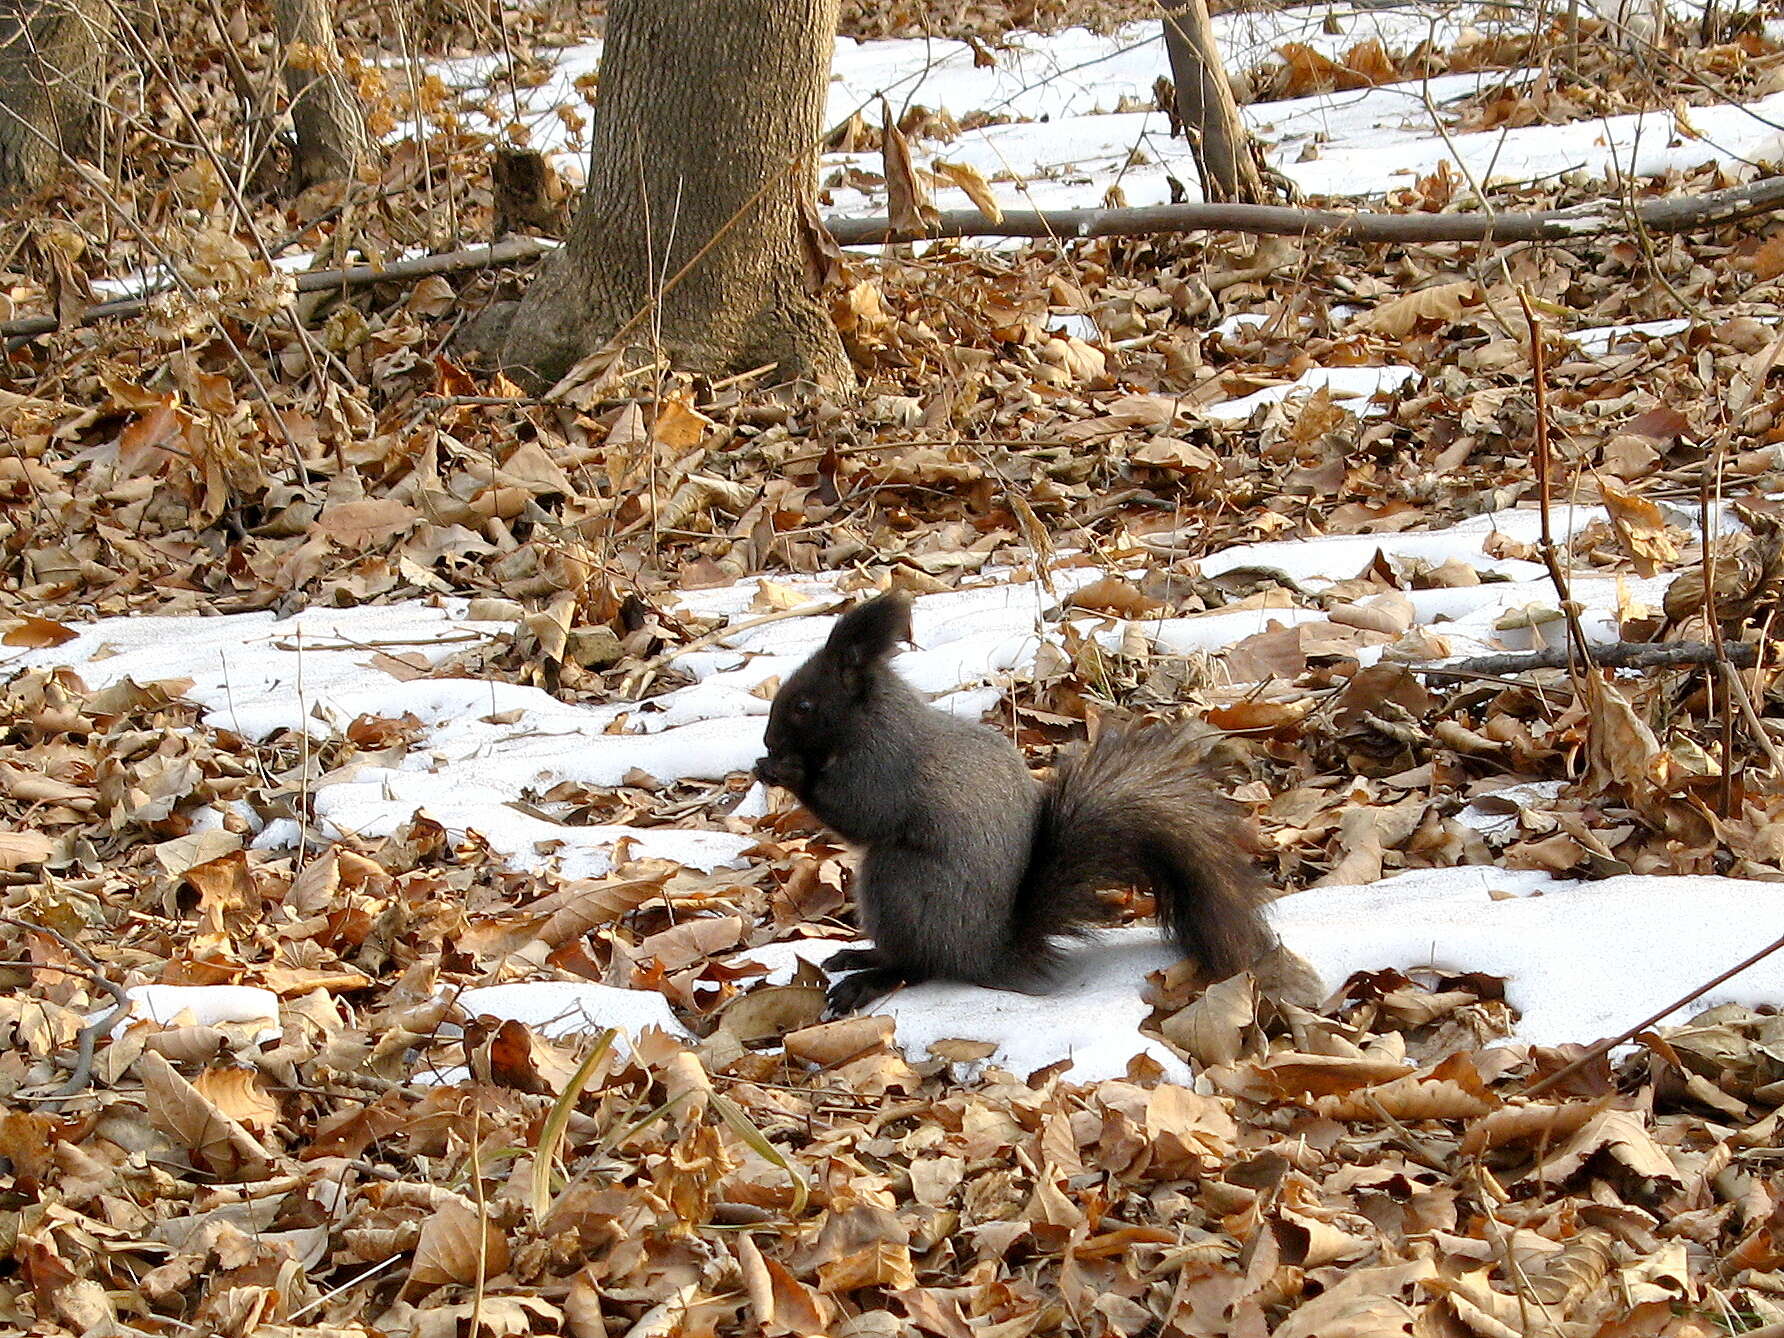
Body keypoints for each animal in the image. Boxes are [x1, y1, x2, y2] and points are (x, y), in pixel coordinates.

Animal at [745, 592, 1277, 1013]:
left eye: (804, 705)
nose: (769, 741)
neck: (871, 719)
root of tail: (988, 952)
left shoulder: (884, 765)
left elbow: (862, 811)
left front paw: (785, 771)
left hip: (898, 884)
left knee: (918, 965)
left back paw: (869, 977)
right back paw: (858, 955)